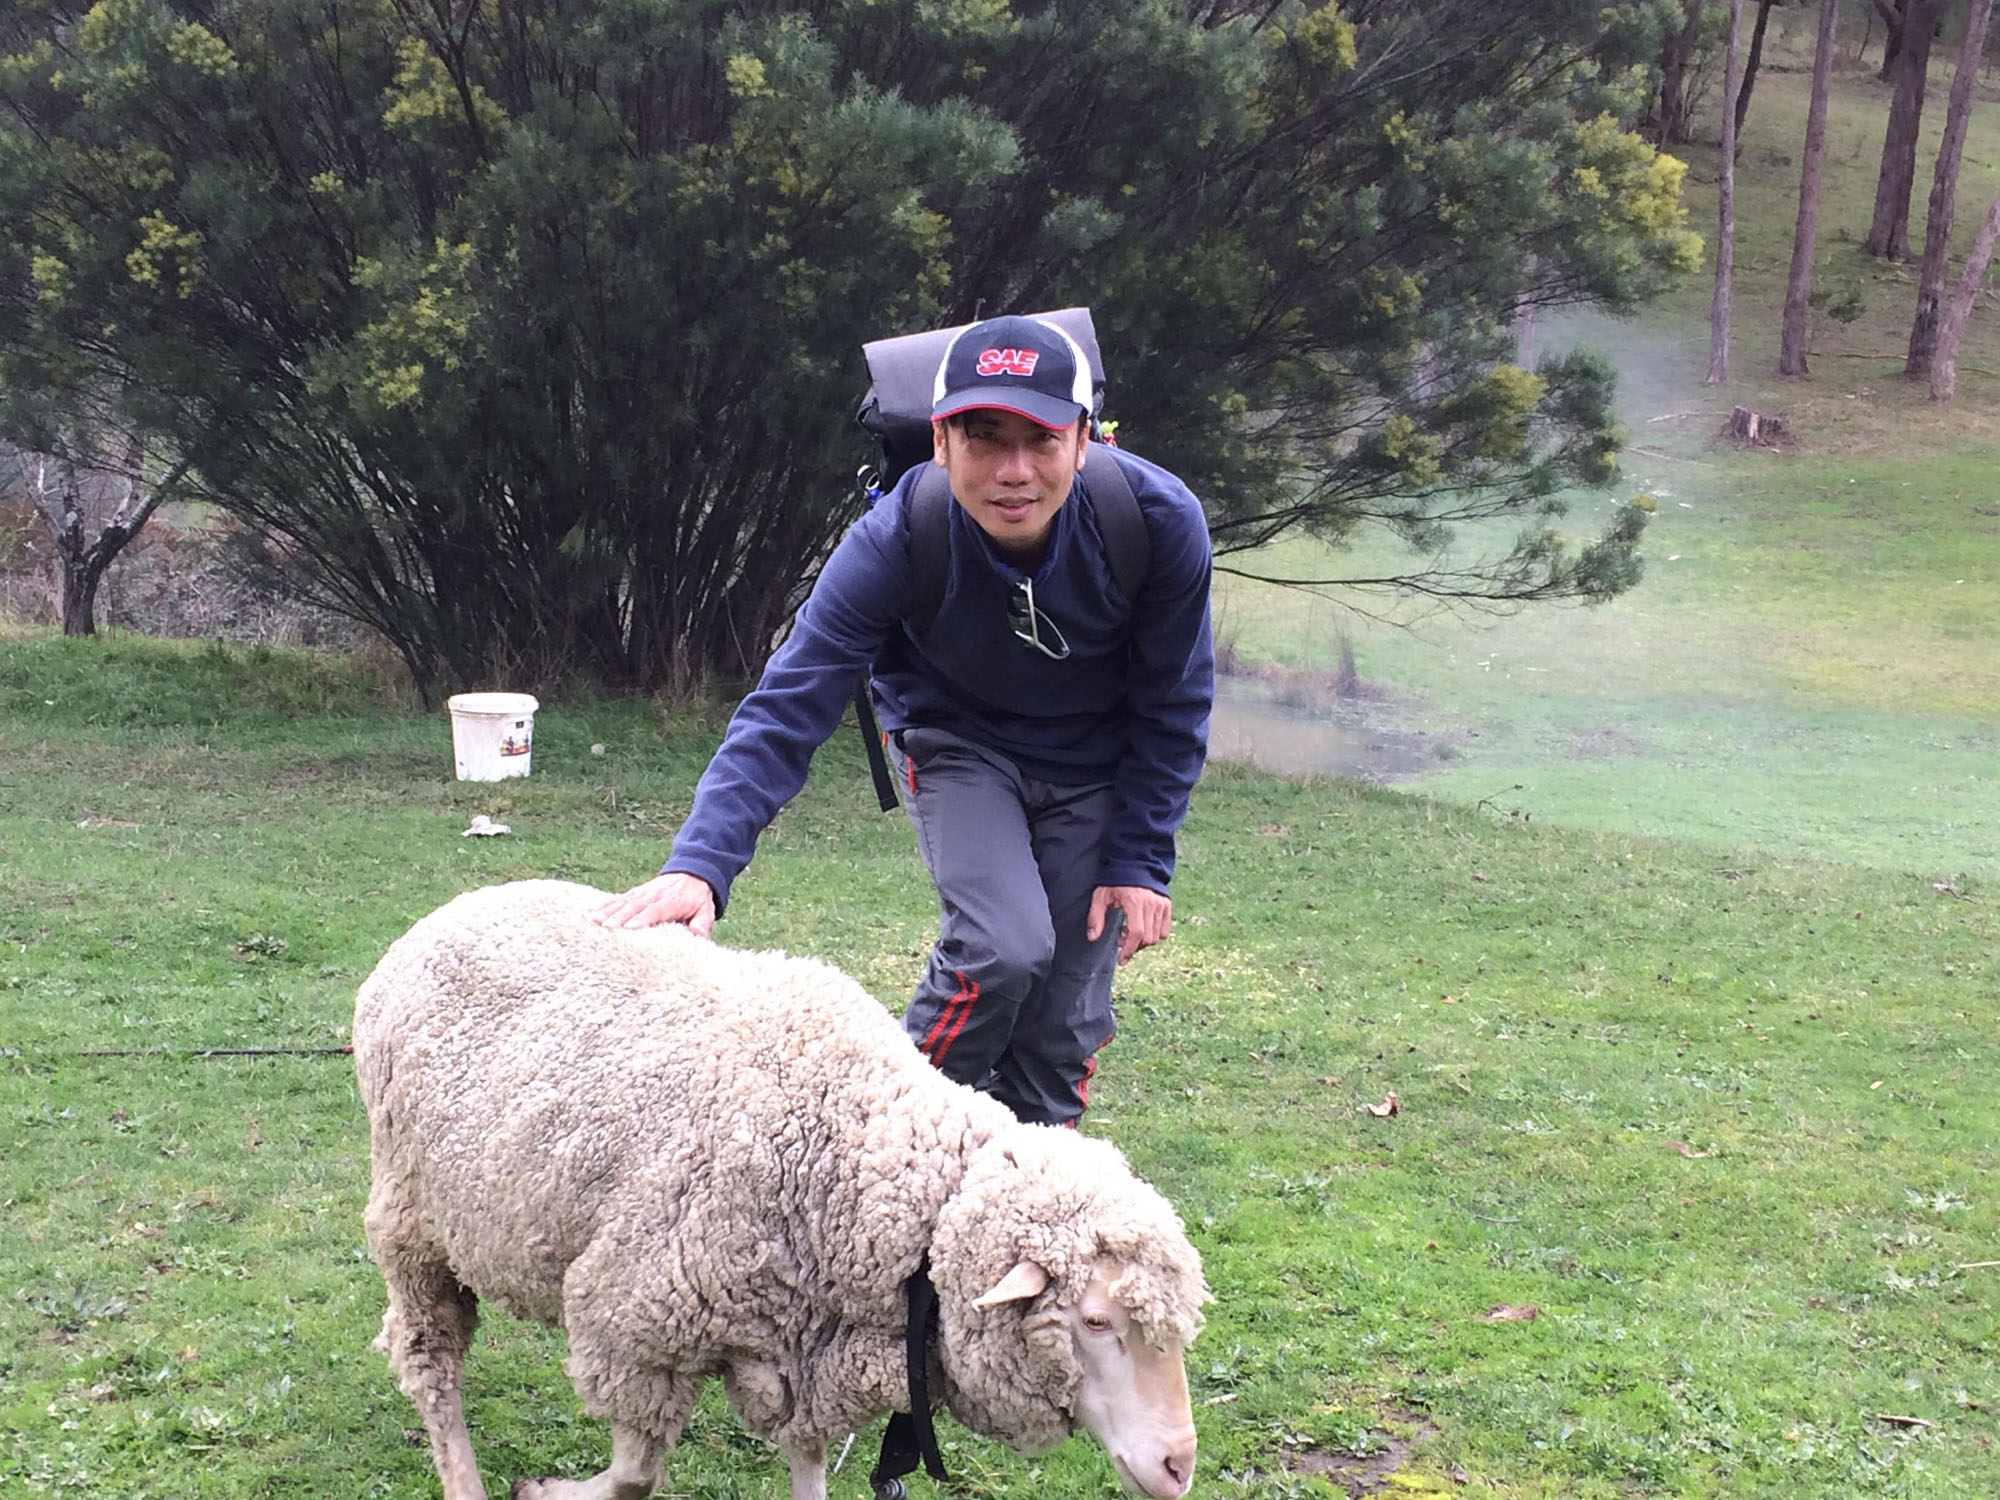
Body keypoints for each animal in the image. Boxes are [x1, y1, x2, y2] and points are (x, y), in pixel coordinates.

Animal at [353, 879, 1208, 1500]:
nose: (1179, 1467)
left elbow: (805, 1466)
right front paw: (547, 1491)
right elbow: (633, 1476)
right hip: (413, 1220)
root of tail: (455, 907)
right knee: (428, 1360)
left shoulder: (806, 1346)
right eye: (1095, 1321)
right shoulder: (629, 1324)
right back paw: (463, 1477)